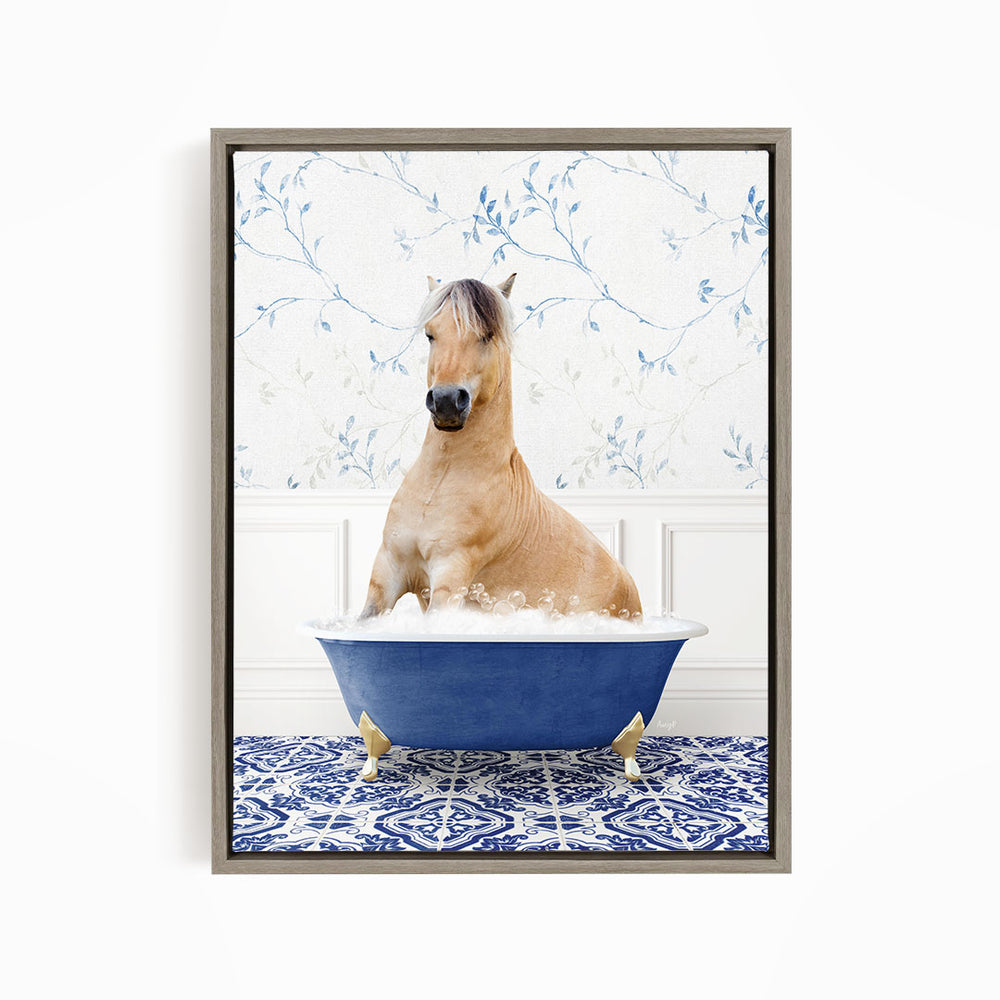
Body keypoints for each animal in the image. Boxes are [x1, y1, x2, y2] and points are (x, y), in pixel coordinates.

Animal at [359, 274, 642, 619]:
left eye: (487, 334)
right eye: (430, 334)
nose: (446, 402)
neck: (440, 482)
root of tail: (628, 585)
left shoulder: (450, 576)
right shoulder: (388, 571)